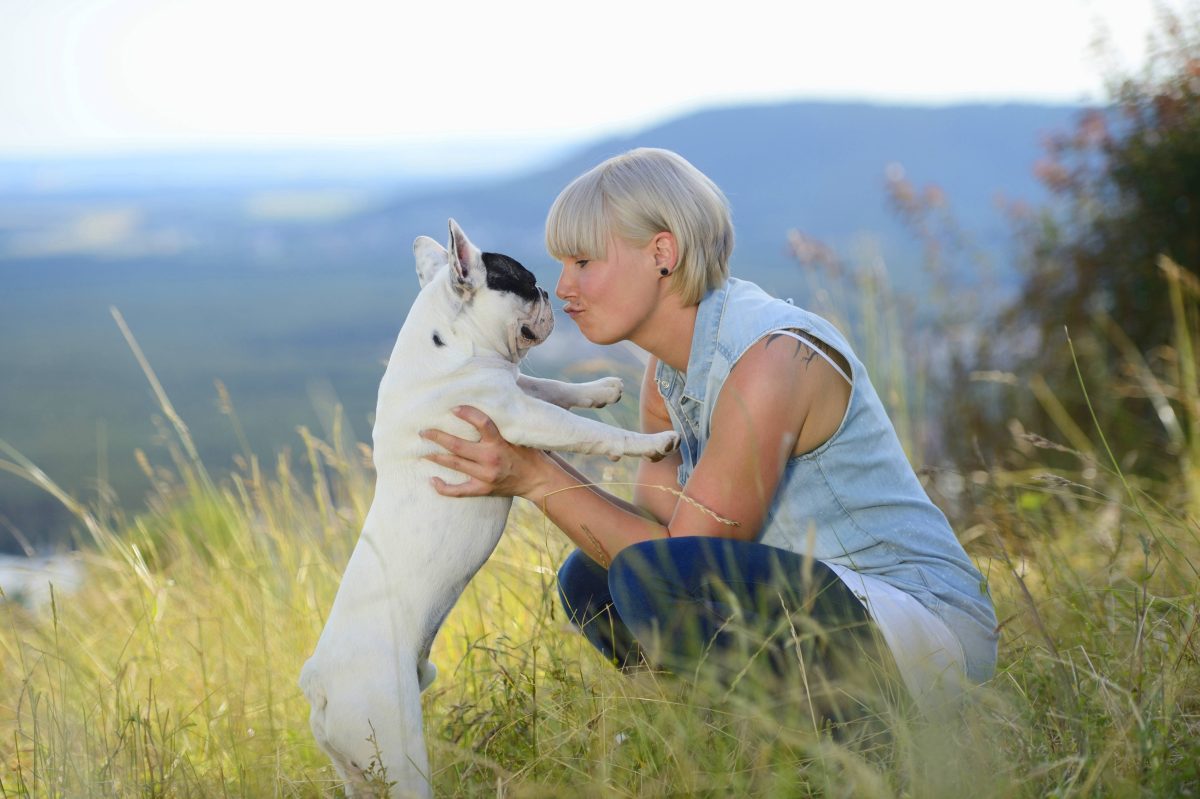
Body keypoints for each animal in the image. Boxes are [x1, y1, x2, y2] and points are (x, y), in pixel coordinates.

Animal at [300, 219, 676, 796]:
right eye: (526, 282)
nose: (551, 295)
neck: (448, 344)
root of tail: (319, 685)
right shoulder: (517, 412)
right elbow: (581, 429)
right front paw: (650, 442)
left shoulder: (514, 388)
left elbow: (550, 385)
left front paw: (599, 388)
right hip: (398, 753)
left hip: (359, 773)